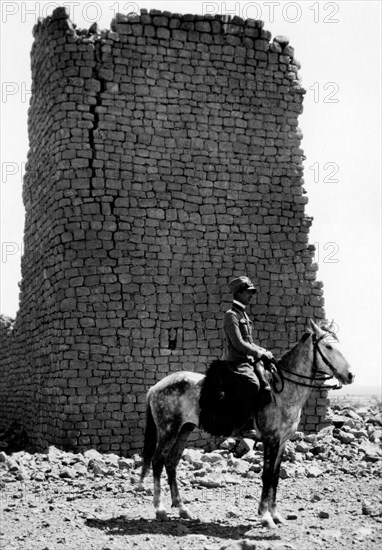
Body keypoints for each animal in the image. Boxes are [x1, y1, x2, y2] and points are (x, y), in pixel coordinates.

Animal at [138, 322, 356, 528]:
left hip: (184, 430)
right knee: (157, 461)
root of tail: (156, 387)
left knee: (171, 463)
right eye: (328, 346)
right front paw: (265, 517)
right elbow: (267, 476)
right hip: (168, 430)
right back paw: (160, 509)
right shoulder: (271, 440)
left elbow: (275, 477)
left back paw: (182, 508)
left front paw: (276, 515)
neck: (282, 392)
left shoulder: (282, 442)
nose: (350, 375)